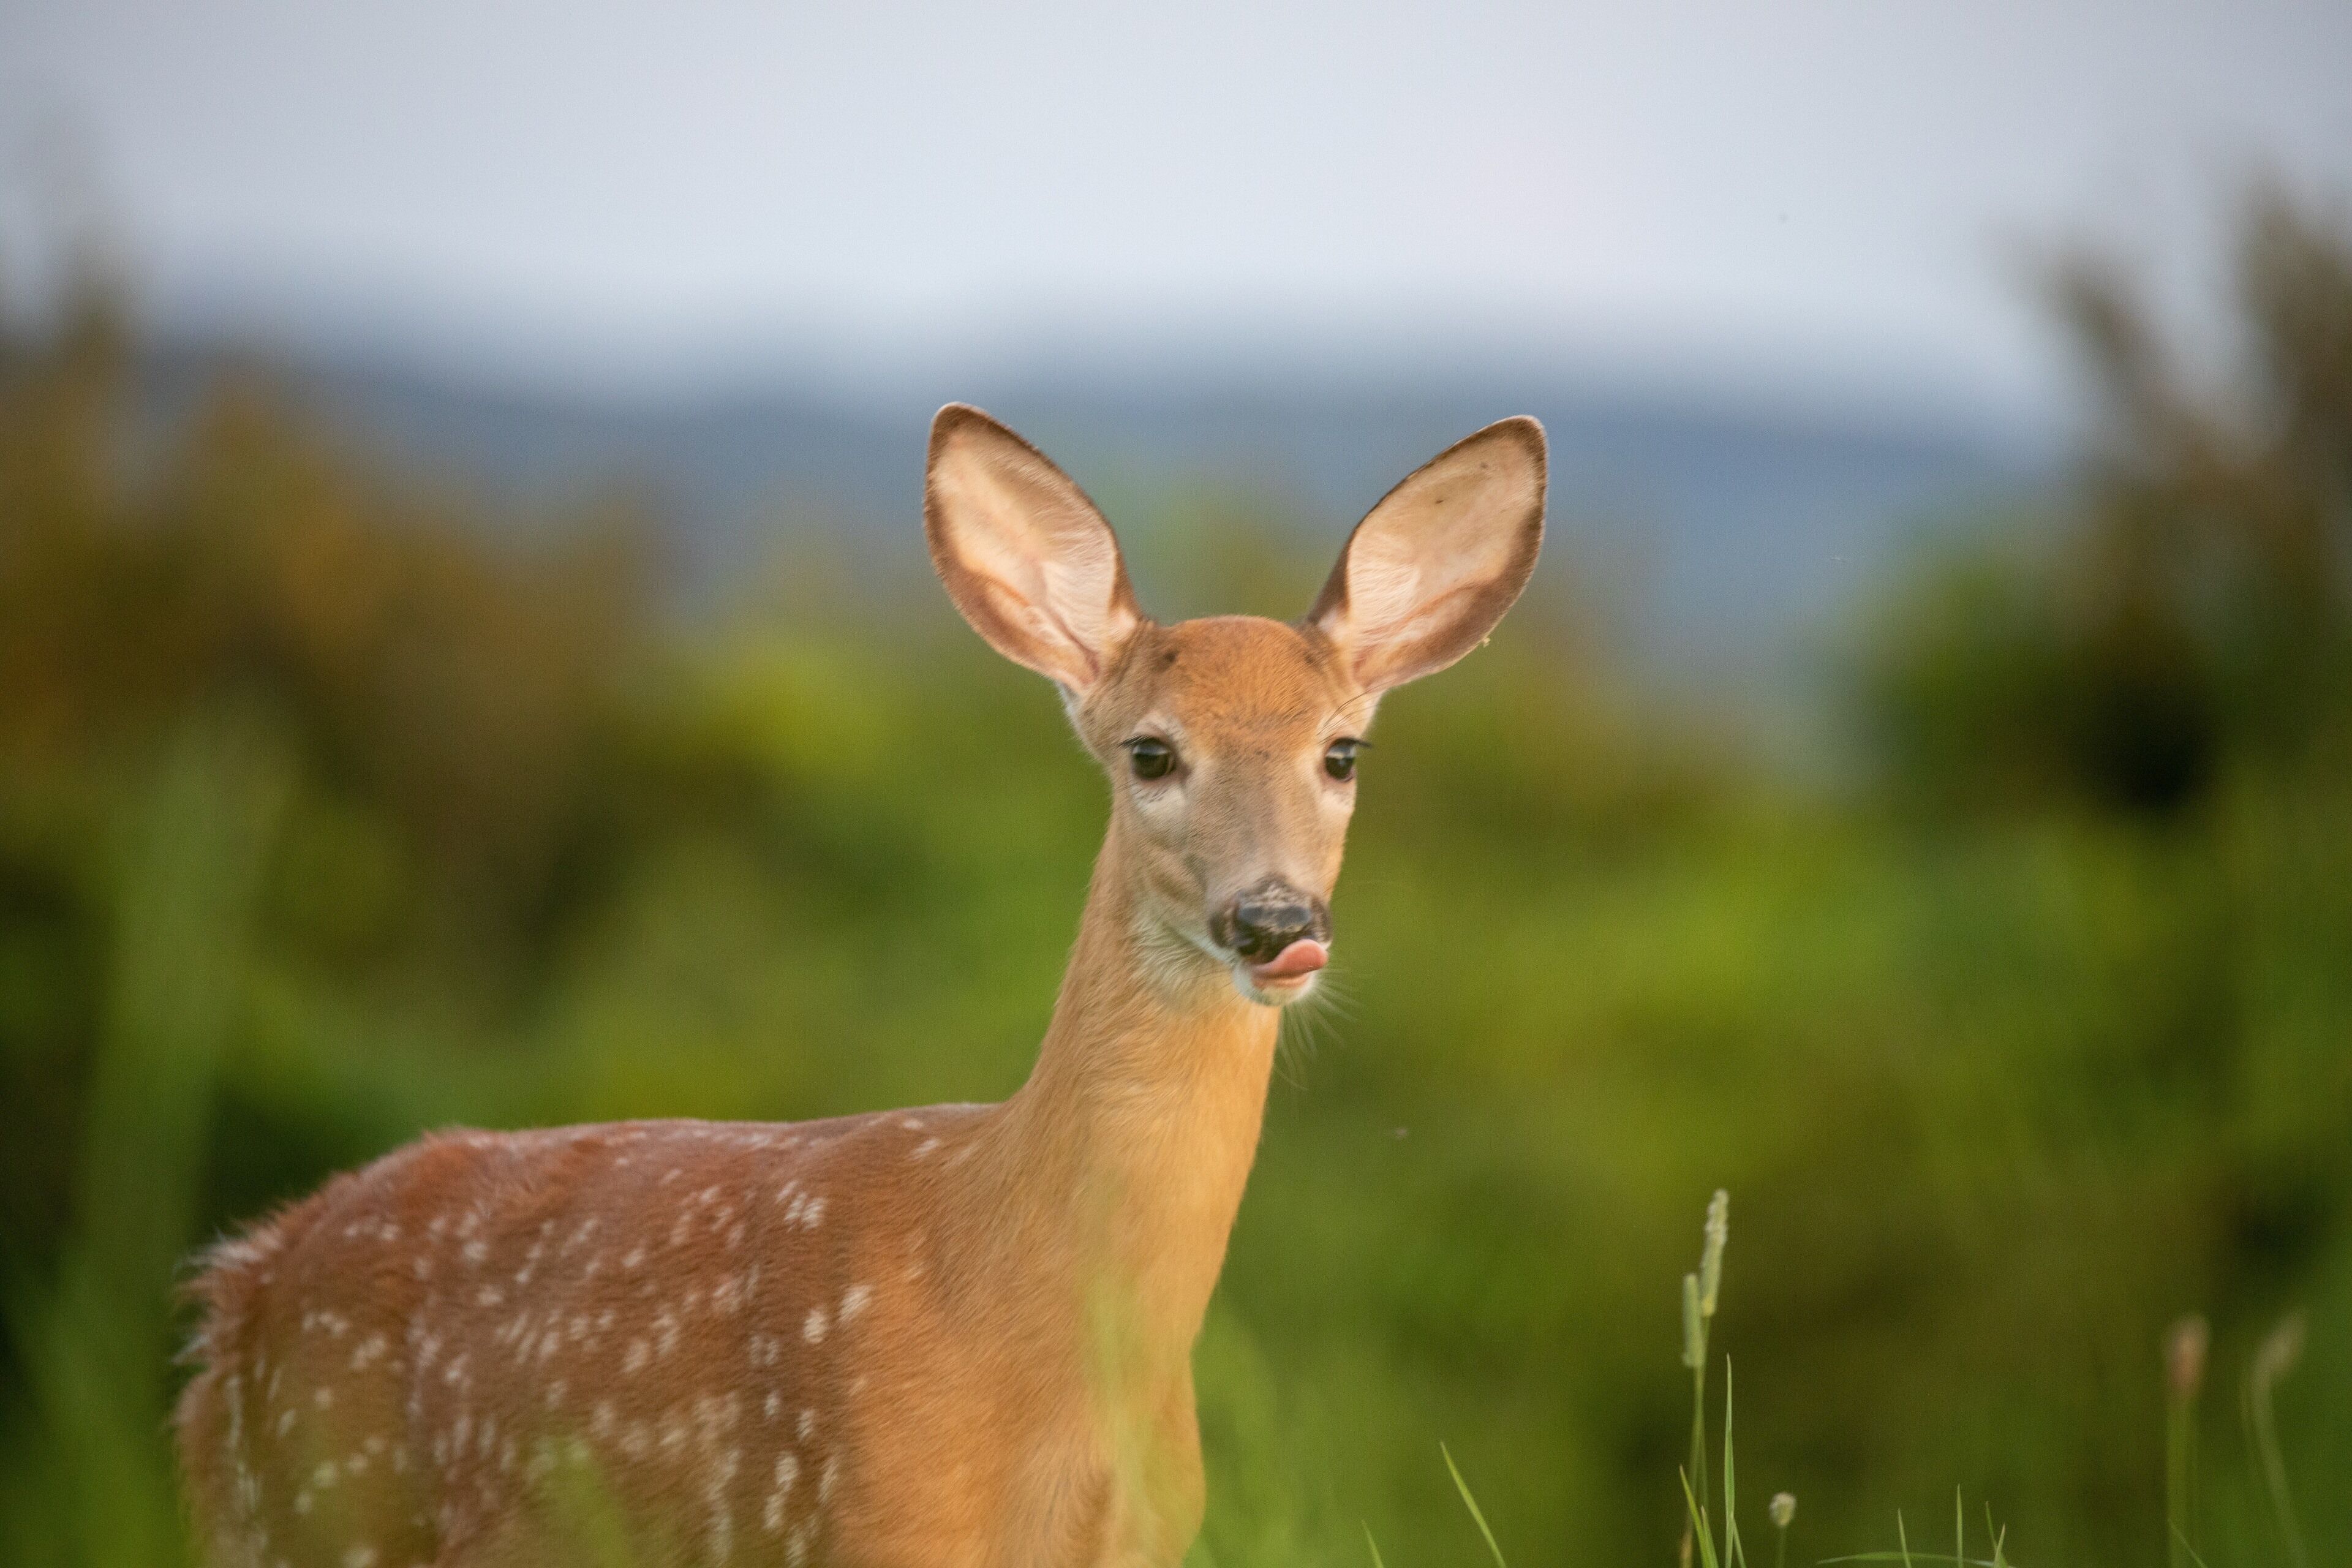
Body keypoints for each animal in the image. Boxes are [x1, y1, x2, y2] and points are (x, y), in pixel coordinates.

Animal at [174, 404, 1546, 1568]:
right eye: (1152, 753)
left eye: (1342, 752)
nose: (1273, 921)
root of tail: (233, 1292)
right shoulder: (873, 1511)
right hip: (320, 1511)